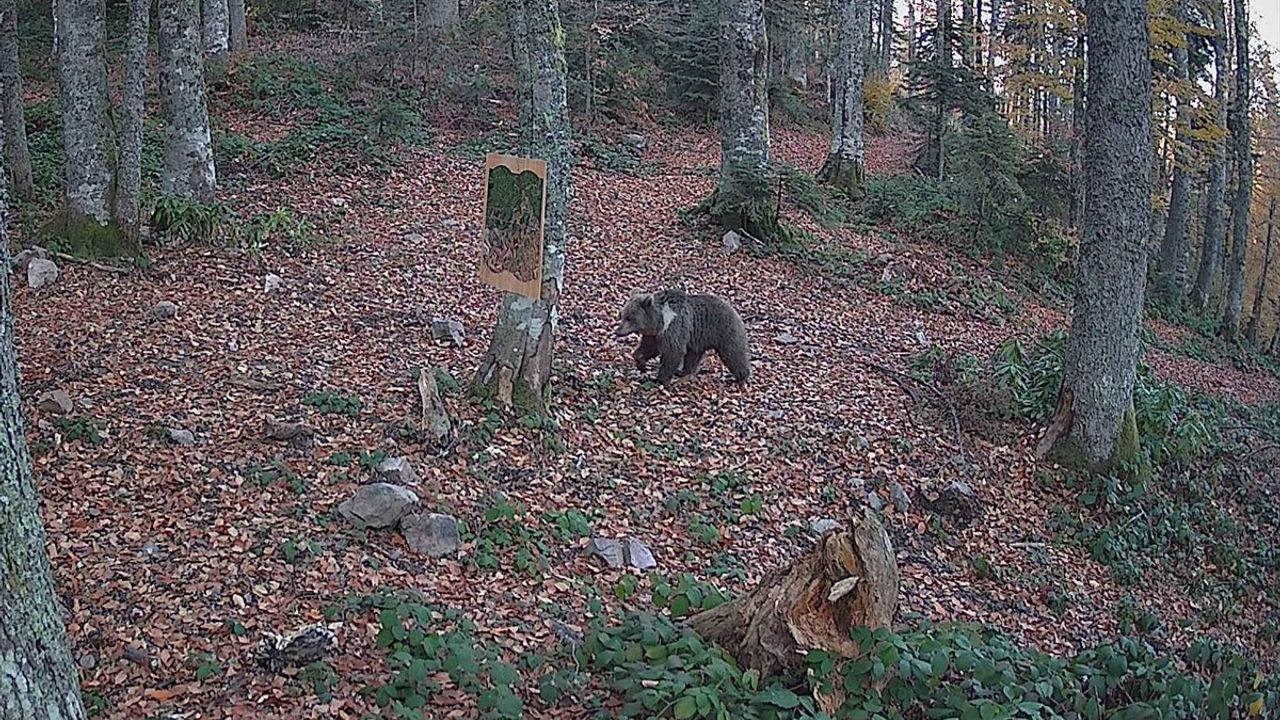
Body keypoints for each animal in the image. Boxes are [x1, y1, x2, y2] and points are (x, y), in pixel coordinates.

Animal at [611, 288, 747, 384]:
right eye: (622, 315)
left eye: (629, 318)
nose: (617, 331)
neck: (660, 321)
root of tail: (734, 309)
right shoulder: (655, 335)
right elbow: (648, 348)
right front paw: (641, 364)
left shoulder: (674, 328)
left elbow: (673, 352)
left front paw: (660, 379)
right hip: (698, 339)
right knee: (692, 356)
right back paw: (684, 372)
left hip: (723, 330)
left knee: (734, 353)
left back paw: (741, 377)